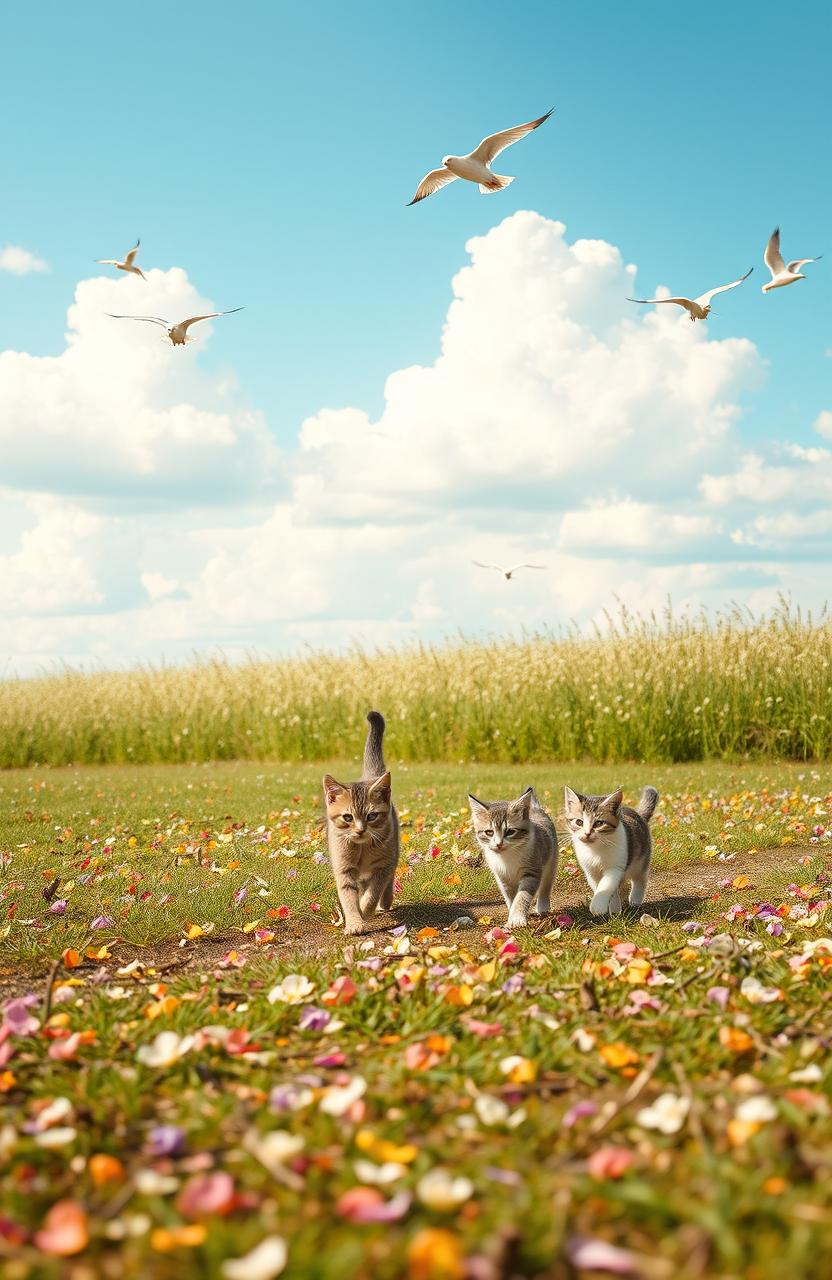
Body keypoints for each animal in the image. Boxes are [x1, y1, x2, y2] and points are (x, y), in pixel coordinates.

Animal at [465, 783, 558, 926]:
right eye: (489, 832)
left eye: (510, 832)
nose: (499, 844)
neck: (507, 856)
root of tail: (535, 809)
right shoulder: (502, 877)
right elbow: (511, 897)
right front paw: (512, 912)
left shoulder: (531, 871)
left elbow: (522, 896)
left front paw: (517, 918)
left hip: (551, 860)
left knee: (546, 885)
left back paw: (543, 907)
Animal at [560, 783, 655, 916]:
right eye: (579, 822)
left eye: (598, 823)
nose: (587, 833)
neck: (594, 849)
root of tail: (637, 813)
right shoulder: (590, 871)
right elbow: (602, 888)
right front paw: (614, 908)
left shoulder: (616, 866)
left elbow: (606, 884)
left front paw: (598, 906)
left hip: (640, 860)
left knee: (640, 879)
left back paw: (635, 899)